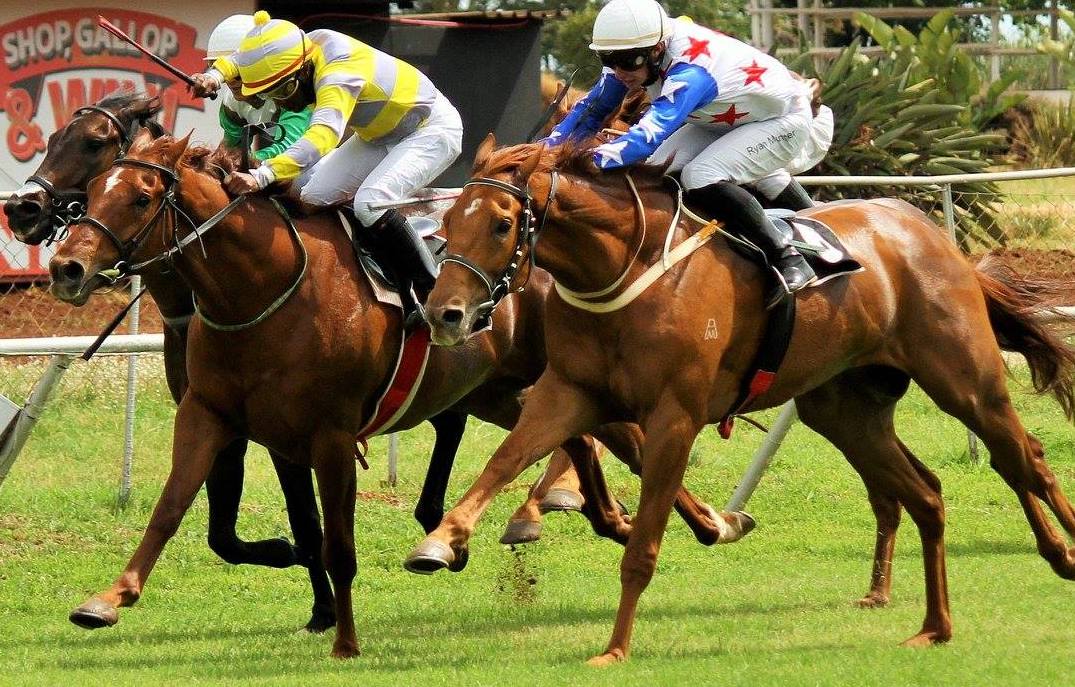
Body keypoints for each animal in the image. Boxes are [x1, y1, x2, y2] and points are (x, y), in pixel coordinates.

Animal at [45, 131, 745, 658]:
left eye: (140, 198)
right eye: (96, 189)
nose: (65, 267)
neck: (260, 290)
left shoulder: (327, 434)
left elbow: (336, 542)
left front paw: (346, 640)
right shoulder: (211, 414)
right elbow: (171, 513)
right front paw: (107, 600)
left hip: (563, 379)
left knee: (627, 438)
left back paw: (704, 520)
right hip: (504, 391)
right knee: (581, 440)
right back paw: (605, 518)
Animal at [405, 136, 1075, 665]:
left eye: (501, 224)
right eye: (448, 224)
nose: (444, 314)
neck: (626, 268)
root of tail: (928, 232)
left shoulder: (676, 416)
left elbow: (643, 543)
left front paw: (616, 648)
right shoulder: (567, 392)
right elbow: (504, 462)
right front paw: (440, 542)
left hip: (966, 380)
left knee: (1025, 459)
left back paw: (1063, 554)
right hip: (844, 410)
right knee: (927, 494)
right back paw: (934, 626)